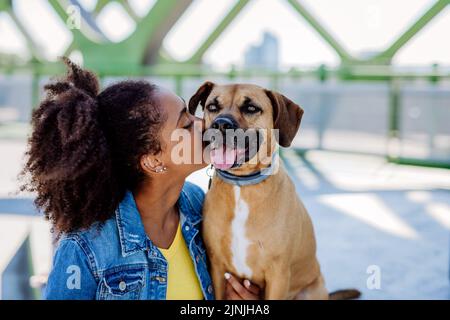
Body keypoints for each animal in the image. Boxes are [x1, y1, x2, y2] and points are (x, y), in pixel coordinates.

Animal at [189, 80, 358, 300]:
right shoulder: (216, 268)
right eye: (212, 106)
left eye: (251, 108)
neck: (241, 186)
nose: (221, 124)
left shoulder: (278, 275)